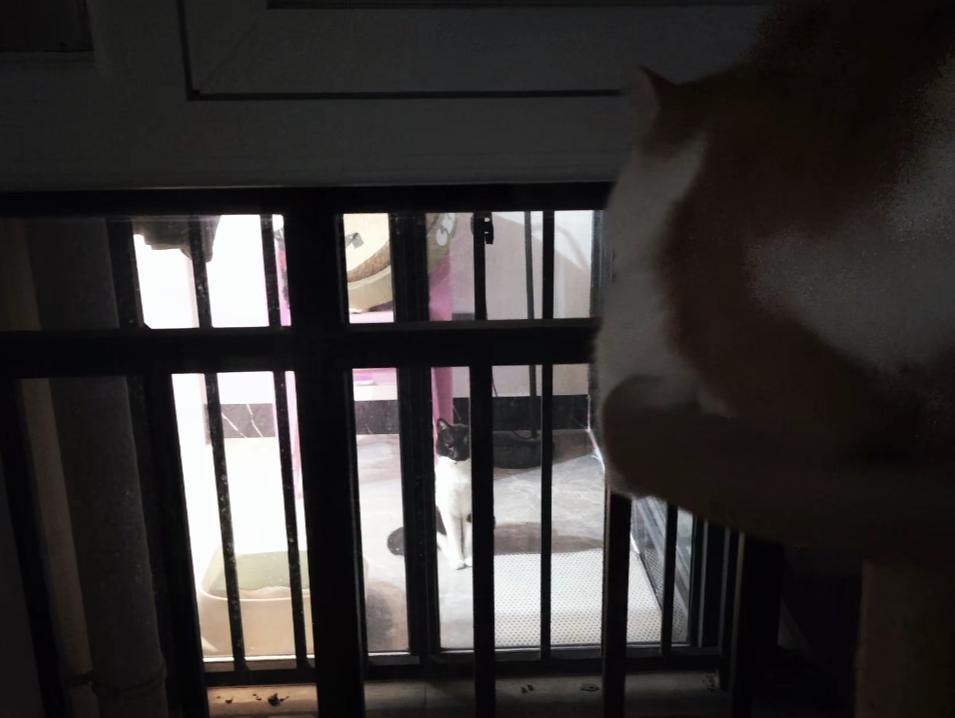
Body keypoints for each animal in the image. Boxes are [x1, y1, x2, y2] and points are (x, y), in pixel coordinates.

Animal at [434, 418, 473, 570]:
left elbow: (469, 539)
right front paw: (458, 560)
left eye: (466, 446)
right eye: (448, 445)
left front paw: (469, 559)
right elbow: (454, 537)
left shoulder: (470, 511)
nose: (456, 456)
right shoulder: (447, 510)